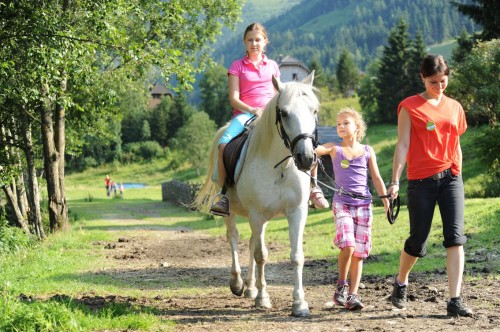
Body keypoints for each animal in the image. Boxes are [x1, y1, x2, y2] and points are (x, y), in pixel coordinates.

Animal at [193, 72, 318, 316]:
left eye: (314, 110)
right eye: (284, 113)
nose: (306, 158)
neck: (280, 167)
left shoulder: (296, 212)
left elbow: (296, 256)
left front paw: (299, 304)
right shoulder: (257, 214)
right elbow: (261, 255)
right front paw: (263, 298)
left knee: (251, 242)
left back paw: (250, 287)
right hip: (235, 213)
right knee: (233, 238)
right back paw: (238, 283)